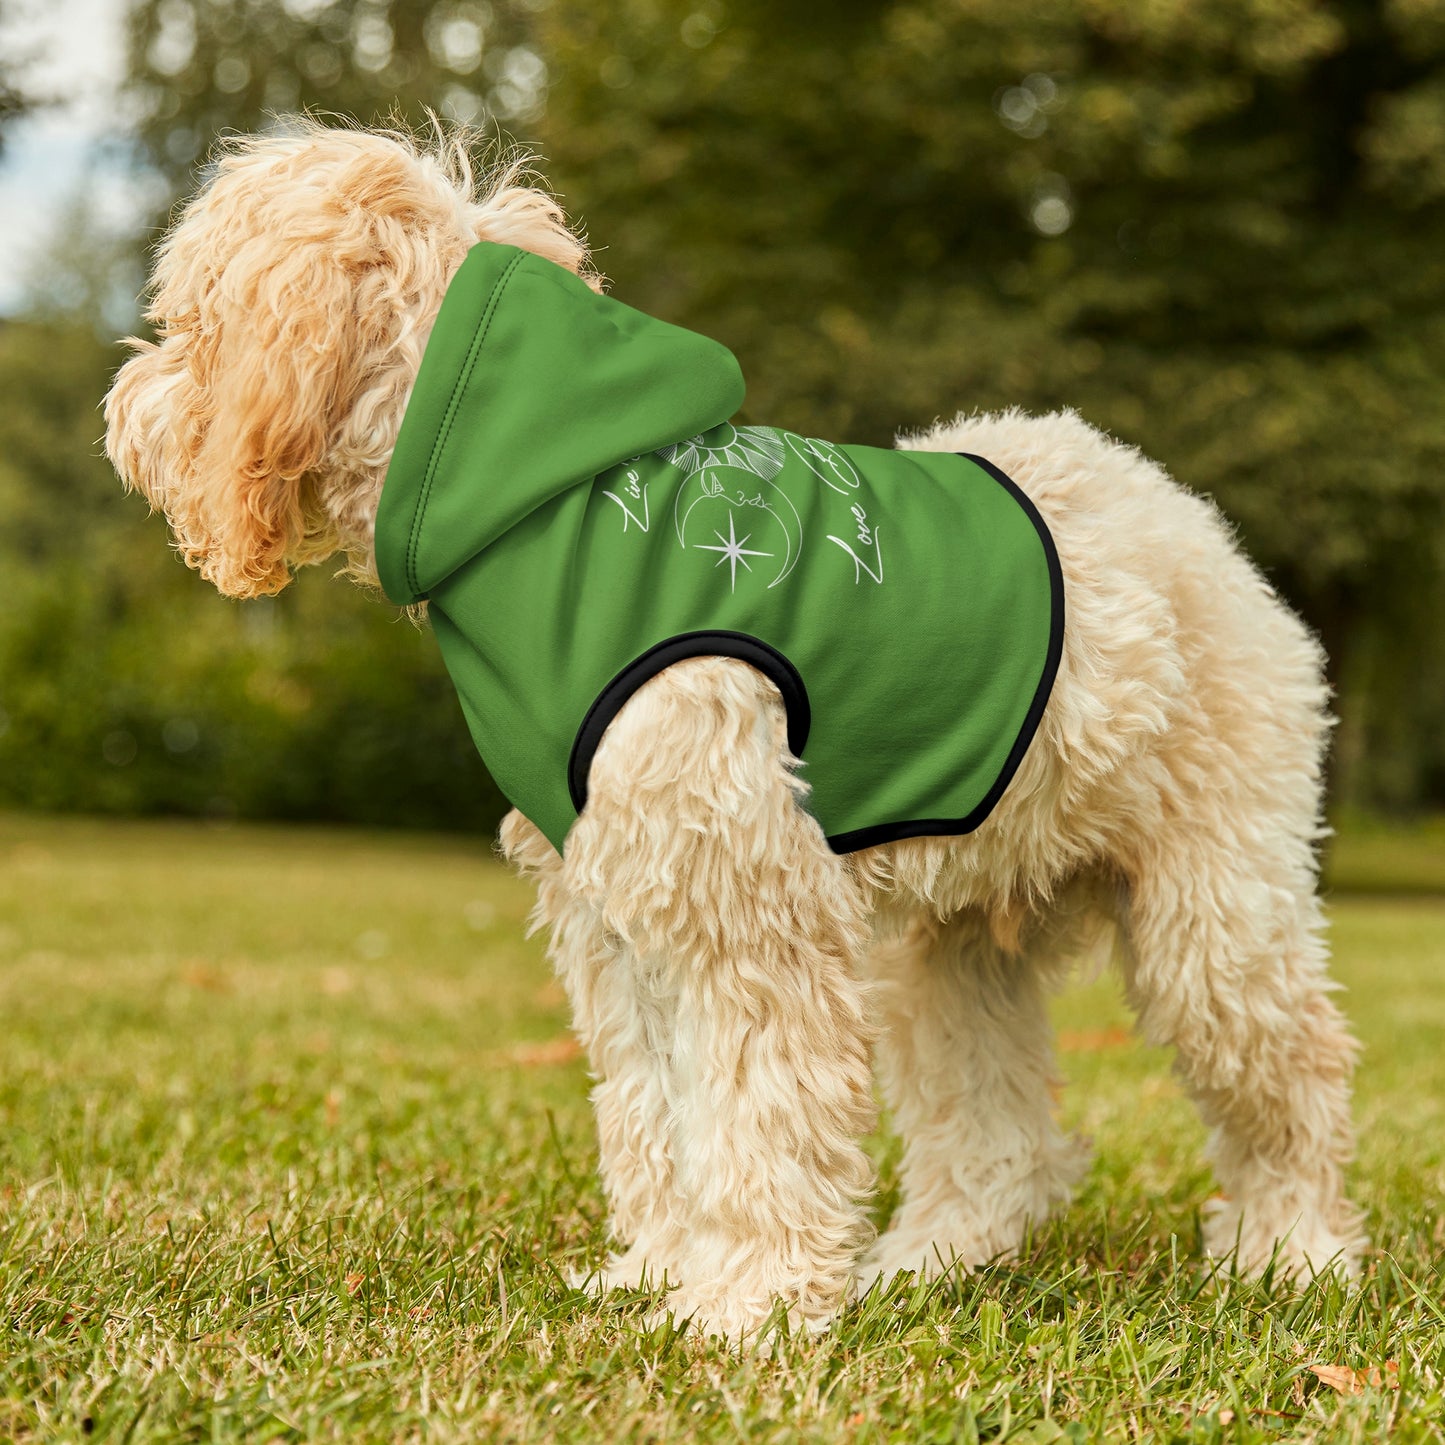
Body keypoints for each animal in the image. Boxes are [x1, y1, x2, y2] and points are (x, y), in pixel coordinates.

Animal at [104, 124, 1364, 1340]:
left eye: (189, 318)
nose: (123, 409)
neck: (536, 500)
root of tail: (1184, 516)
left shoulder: (744, 906)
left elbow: (758, 1115)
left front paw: (747, 1305)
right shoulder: (618, 911)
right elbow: (656, 1113)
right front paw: (662, 1273)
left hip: (1213, 915)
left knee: (1293, 1076)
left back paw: (1290, 1252)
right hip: (949, 948)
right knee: (996, 1135)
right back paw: (929, 1260)